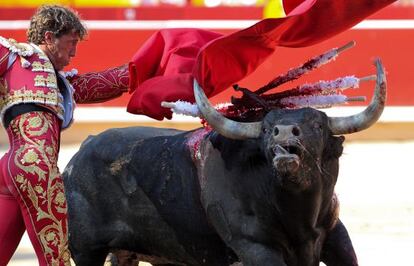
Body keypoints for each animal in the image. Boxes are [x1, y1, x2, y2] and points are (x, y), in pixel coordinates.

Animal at [63, 60, 386, 266]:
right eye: (266, 129)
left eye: (317, 126)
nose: (283, 132)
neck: (297, 215)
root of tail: (82, 150)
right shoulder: (255, 248)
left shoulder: (336, 235)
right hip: (86, 249)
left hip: (128, 253)